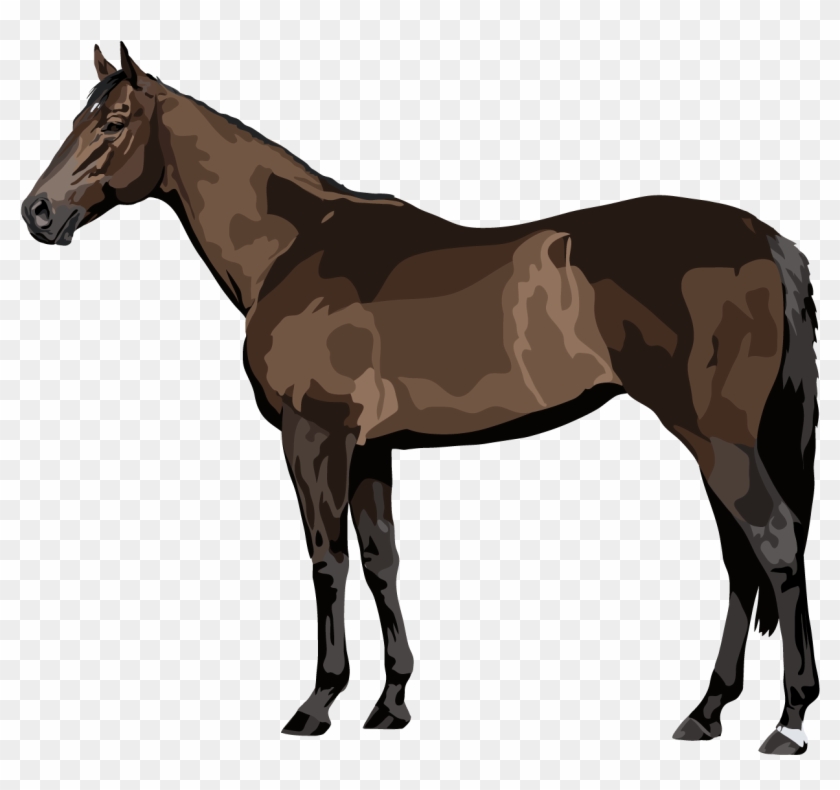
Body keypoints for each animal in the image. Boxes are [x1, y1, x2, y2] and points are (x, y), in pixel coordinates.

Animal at [21, 43, 819, 754]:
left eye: (113, 122)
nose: (37, 212)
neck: (294, 247)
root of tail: (766, 241)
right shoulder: (371, 447)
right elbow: (381, 560)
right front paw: (392, 702)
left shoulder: (315, 436)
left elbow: (327, 559)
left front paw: (318, 703)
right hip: (716, 442)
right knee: (740, 560)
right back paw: (708, 712)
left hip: (716, 437)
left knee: (774, 543)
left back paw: (789, 721)